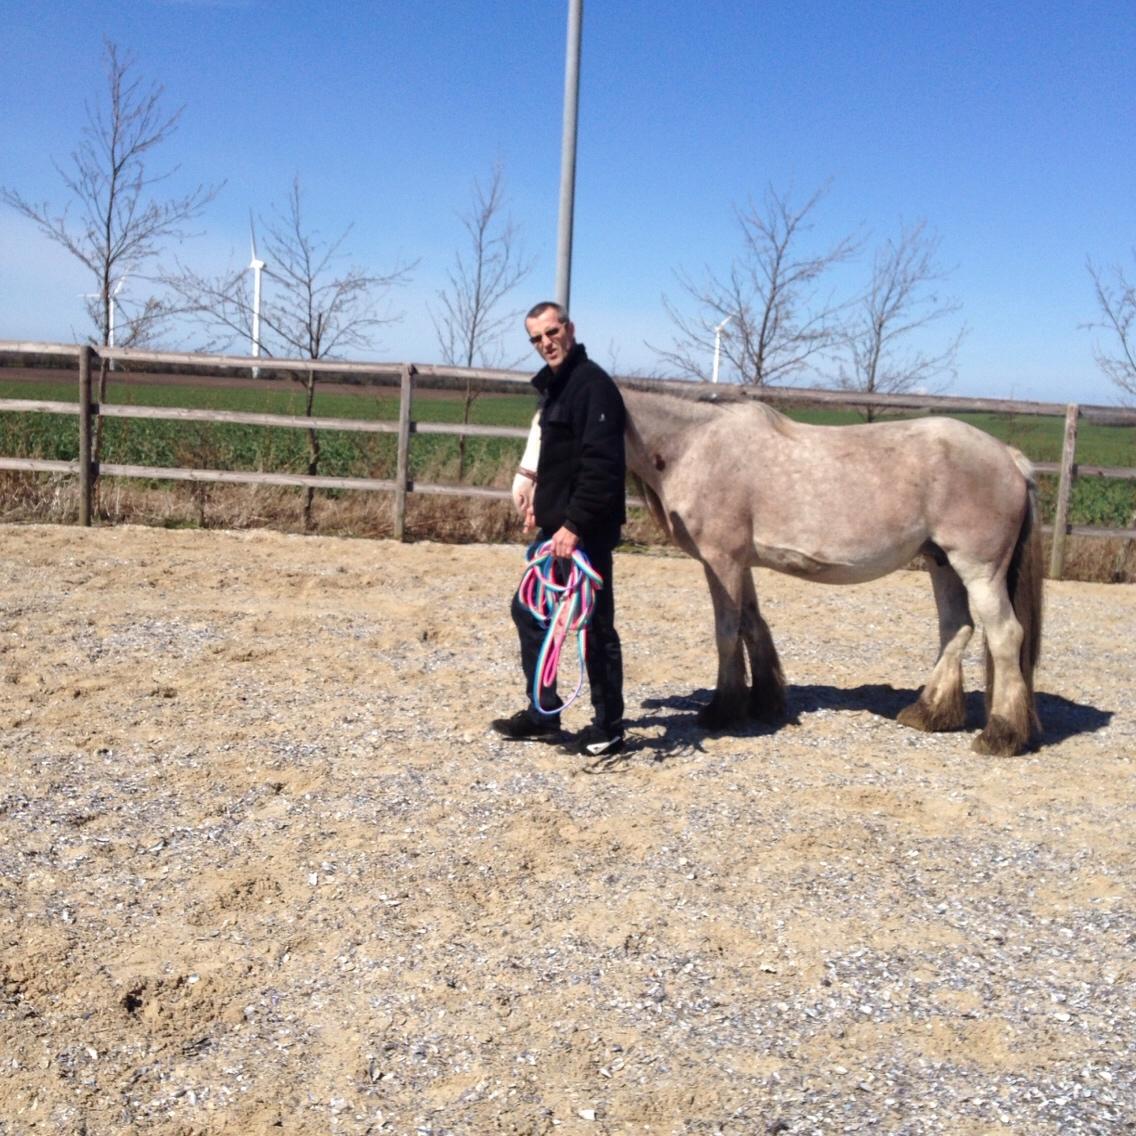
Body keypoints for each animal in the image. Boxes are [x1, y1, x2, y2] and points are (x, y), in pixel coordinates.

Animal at [617, 381, 1040, 754]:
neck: (694, 446)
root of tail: (1009, 457)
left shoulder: (722, 560)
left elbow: (726, 634)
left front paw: (723, 711)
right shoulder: (740, 563)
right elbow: (752, 626)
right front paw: (764, 703)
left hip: (979, 569)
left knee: (1005, 636)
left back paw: (1000, 735)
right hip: (942, 563)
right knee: (956, 628)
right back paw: (929, 713)